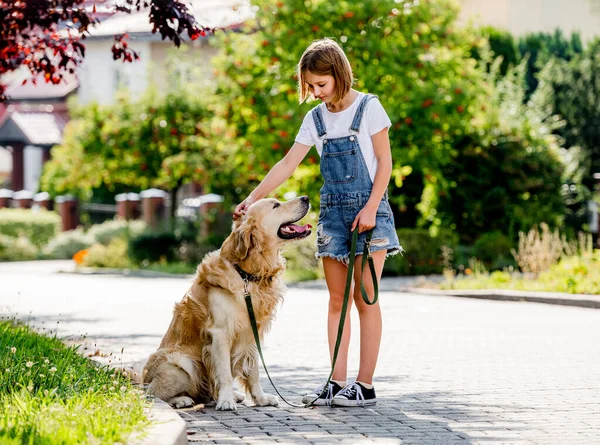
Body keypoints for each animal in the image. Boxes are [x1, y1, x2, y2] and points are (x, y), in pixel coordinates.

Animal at [141, 195, 310, 410]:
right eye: (276, 205)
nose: (306, 198)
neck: (246, 274)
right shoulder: (220, 334)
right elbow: (225, 375)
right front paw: (226, 400)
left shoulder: (251, 334)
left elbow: (254, 373)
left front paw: (261, 399)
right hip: (181, 362)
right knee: (153, 394)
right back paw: (182, 399)